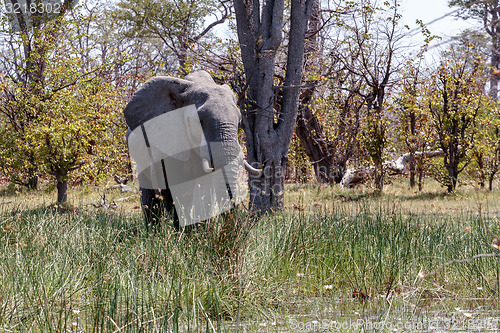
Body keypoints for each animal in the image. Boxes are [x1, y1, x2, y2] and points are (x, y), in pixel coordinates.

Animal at [124, 71, 262, 230]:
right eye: (200, 121)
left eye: (239, 122)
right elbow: (170, 188)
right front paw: (183, 232)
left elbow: (204, 189)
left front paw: (200, 233)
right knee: (150, 196)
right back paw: (153, 231)